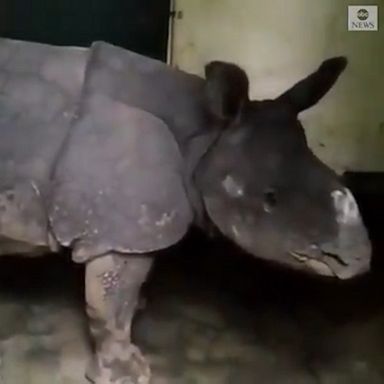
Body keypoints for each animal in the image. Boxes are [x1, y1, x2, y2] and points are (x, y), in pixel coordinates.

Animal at [0, 38, 372, 384]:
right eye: (270, 198)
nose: (356, 259)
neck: (206, 135)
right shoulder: (122, 226)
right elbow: (112, 302)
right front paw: (129, 374)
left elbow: (121, 295)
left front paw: (140, 306)